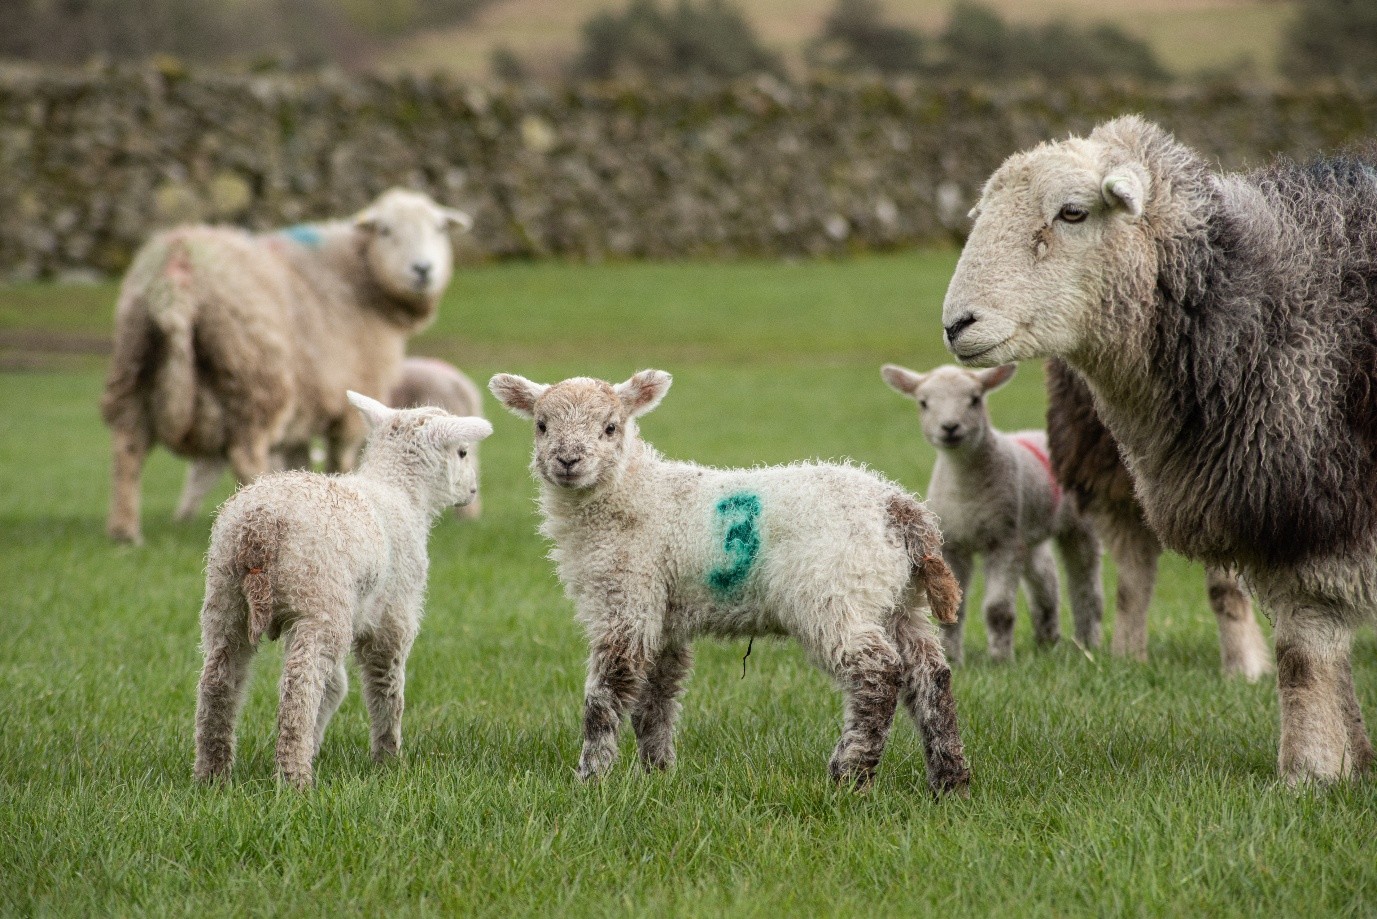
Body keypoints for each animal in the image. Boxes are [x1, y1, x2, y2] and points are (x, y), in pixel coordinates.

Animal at [193, 391, 492, 789]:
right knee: (300, 687)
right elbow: (386, 686)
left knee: (219, 682)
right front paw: (388, 759)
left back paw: (212, 775)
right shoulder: (393, 617)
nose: (473, 489)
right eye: (462, 452)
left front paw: (321, 742)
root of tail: (260, 527)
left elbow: (335, 686)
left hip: (226, 599)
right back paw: (295, 777)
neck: (401, 492)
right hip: (319, 600)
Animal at [488, 369, 971, 795]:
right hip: (899, 601)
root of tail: (900, 509)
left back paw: (850, 775)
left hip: (835, 593)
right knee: (931, 676)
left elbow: (606, 696)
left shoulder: (627, 597)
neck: (633, 494)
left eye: (610, 427)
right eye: (541, 425)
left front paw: (591, 779)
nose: (567, 461)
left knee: (878, 671)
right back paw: (950, 781)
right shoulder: (664, 617)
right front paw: (658, 776)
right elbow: (655, 703)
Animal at [882, 362, 1102, 664]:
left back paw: (1087, 643)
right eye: (923, 403)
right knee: (1046, 577)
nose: (950, 427)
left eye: (975, 399)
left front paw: (1000, 659)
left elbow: (998, 609)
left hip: (1079, 524)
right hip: (1028, 530)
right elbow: (955, 606)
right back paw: (1047, 640)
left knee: (1085, 582)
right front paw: (953, 657)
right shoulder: (953, 543)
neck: (966, 490)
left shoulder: (1003, 540)